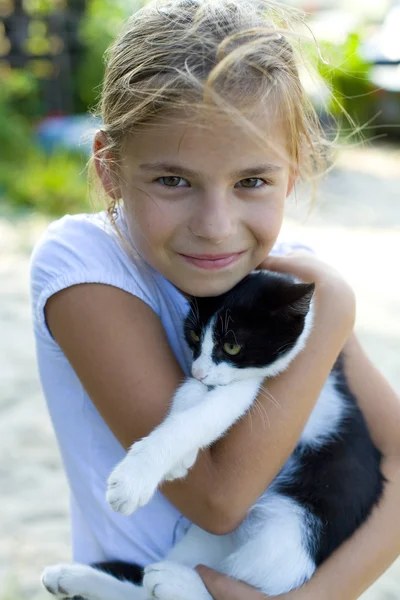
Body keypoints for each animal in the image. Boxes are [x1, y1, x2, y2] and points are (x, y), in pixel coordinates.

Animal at [41, 270, 384, 600]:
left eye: (232, 346)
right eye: (194, 335)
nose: (198, 371)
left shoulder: (257, 380)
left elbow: (204, 416)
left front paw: (135, 477)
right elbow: (188, 397)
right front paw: (181, 460)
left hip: (295, 531)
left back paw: (175, 583)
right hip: (210, 538)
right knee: (144, 592)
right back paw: (71, 577)